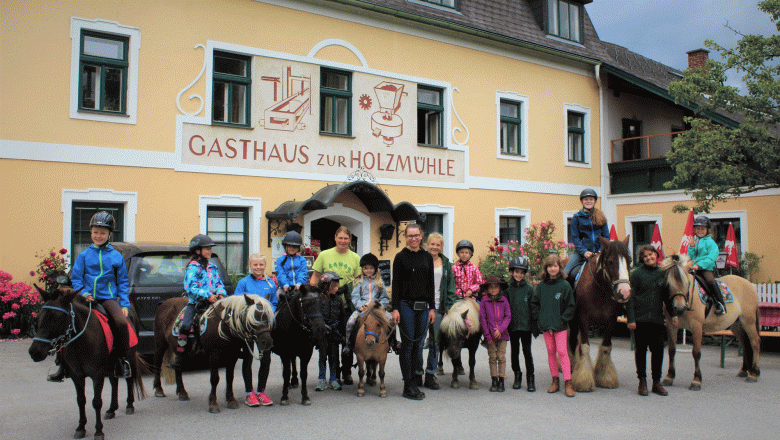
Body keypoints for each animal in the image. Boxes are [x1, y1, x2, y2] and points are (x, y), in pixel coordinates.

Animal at [28, 286, 148, 440]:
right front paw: (81, 427)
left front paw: (98, 431)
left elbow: (96, 402)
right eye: (38, 318)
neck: (82, 341)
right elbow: (81, 400)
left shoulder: (97, 375)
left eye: (56, 318)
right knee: (114, 381)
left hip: (130, 357)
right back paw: (112, 409)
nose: (34, 352)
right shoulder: (76, 375)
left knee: (129, 379)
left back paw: (129, 405)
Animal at [568, 237, 632, 392]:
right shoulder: (583, 319)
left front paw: (604, 377)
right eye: (610, 262)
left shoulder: (611, 320)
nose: (625, 292)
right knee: (572, 342)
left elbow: (606, 347)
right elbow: (584, 347)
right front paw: (584, 380)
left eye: (629, 260)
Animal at [660, 253, 760, 390]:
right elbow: (671, 350)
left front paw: (696, 380)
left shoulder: (697, 326)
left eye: (687, 283)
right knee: (745, 344)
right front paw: (669, 377)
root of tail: (750, 285)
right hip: (737, 325)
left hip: (748, 321)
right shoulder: (671, 326)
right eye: (668, 284)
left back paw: (754, 374)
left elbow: (696, 352)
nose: (679, 309)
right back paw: (744, 371)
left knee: (755, 342)